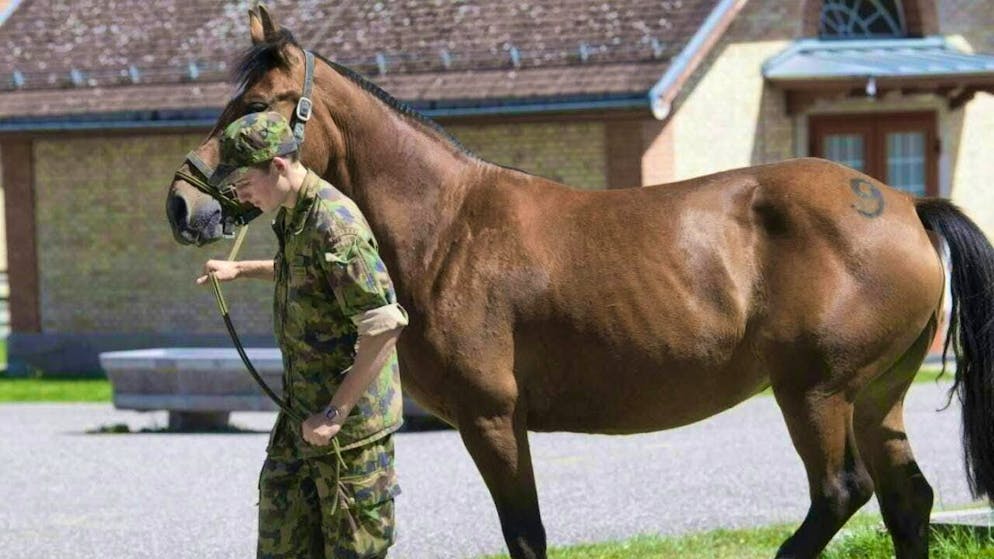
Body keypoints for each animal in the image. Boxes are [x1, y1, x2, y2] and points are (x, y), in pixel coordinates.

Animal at [165, 6, 994, 558]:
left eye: (253, 109)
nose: (182, 203)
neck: (448, 228)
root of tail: (906, 204)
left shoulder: (493, 419)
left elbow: (526, 534)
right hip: (876, 396)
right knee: (907, 500)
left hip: (816, 393)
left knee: (842, 493)